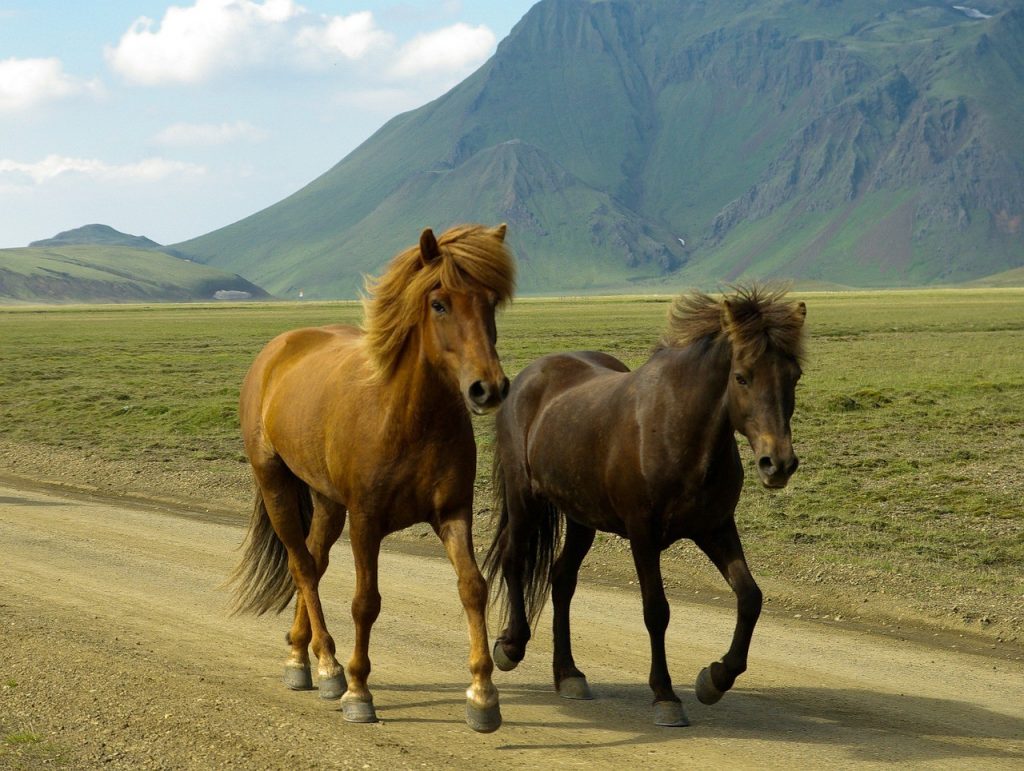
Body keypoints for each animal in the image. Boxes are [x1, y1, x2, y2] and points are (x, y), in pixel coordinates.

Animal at [234, 224, 516, 733]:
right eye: (439, 303)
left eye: (490, 302)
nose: (488, 388)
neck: (407, 417)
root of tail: (277, 348)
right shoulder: (366, 521)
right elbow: (366, 601)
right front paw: (358, 690)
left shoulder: (453, 513)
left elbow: (473, 587)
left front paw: (483, 695)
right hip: (275, 483)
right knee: (301, 566)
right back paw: (328, 666)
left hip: (327, 502)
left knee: (314, 561)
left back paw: (300, 656)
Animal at [483, 286, 802, 724]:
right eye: (742, 376)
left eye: (795, 376)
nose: (779, 463)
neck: (678, 431)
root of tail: (531, 375)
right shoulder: (642, 533)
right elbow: (656, 610)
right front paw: (665, 695)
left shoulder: (716, 528)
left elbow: (750, 597)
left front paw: (715, 679)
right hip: (524, 500)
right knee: (515, 559)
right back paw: (511, 647)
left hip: (581, 517)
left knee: (562, 579)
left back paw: (568, 674)